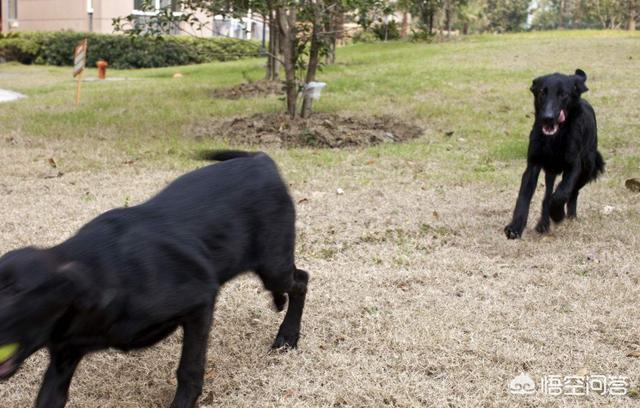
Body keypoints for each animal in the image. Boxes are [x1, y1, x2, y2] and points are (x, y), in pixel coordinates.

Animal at [0, 151, 308, 408]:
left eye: (17, 291)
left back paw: (287, 336)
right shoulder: (65, 355)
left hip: (272, 267)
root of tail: (260, 159)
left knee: (301, 280)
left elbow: (189, 369)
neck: (101, 275)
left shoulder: (200, 303)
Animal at [504, 68, 604, 237]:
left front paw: (557, 214)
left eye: (563, 94)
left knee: (573, 192)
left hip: (588, 167)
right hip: (550, 170)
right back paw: (543, 223)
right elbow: (524, 196)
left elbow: (562, 193)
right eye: (542, 92)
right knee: (548, 194)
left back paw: (570, 215)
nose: (548, 118)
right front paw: (515, 227)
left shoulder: (573, 166)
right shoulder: (533, 165)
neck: (555, 139)